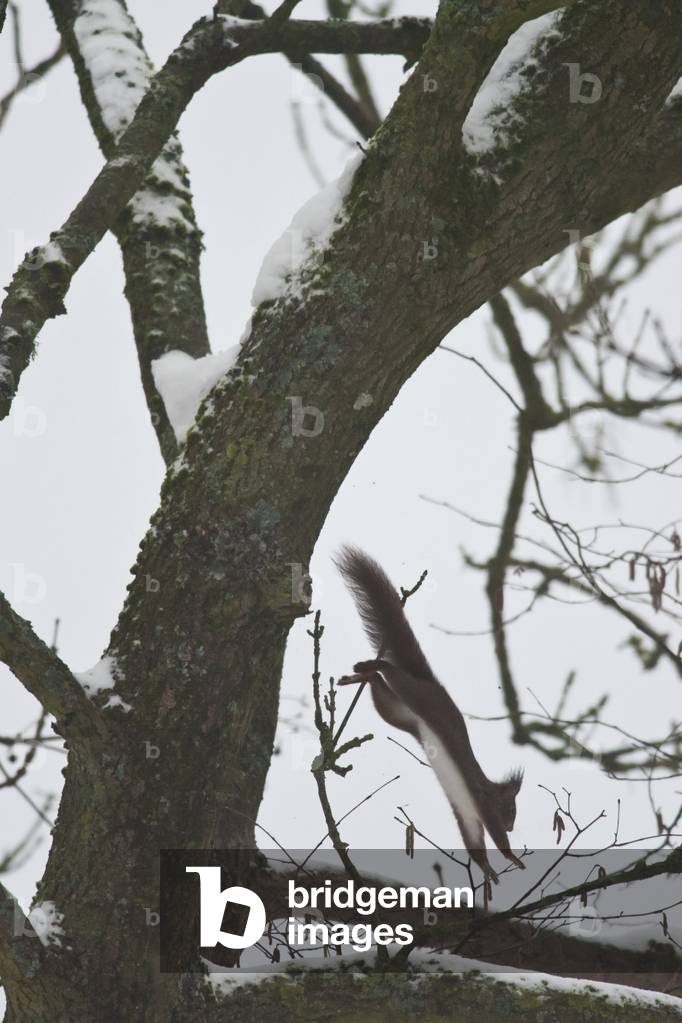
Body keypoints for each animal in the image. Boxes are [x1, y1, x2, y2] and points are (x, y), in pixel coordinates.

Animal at [336, 545, 524, 882]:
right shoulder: (484, 804)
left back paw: (360, 676)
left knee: (380, 685)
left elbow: (475, 846)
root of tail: (434, 686)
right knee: (391, 671)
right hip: (415, 694)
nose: (514, 826)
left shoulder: (468, 817)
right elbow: (495, 836)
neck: (487, 796)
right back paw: (368, 666)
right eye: (512, 809)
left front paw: (489, 871)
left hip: (398, 712)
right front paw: (512, 857)